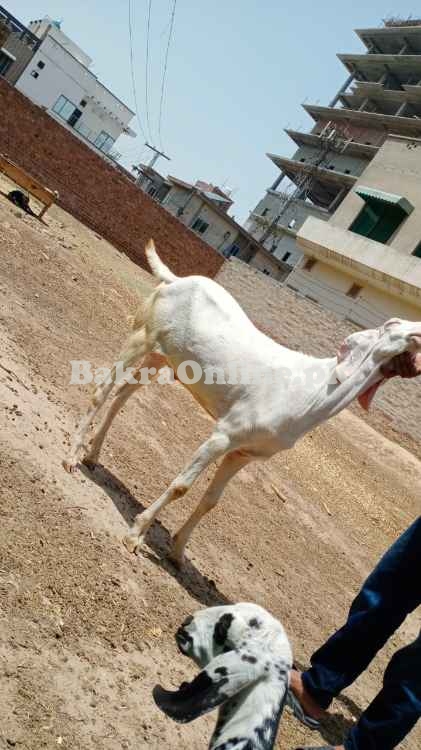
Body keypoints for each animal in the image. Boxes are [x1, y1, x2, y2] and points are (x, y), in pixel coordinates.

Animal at [63, 239, 420, 564]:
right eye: (392, 324)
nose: (418, 330)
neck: (312, 391)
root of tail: (177, 280)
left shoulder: (245, 452)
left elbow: (212, 500)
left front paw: (178, 553)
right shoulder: (225, 433)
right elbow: (182, 486)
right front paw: (136, 535)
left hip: (163, 357)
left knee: (123, 395)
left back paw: (93, 457)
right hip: (143, 334)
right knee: (102, 391)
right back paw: (71, 458)